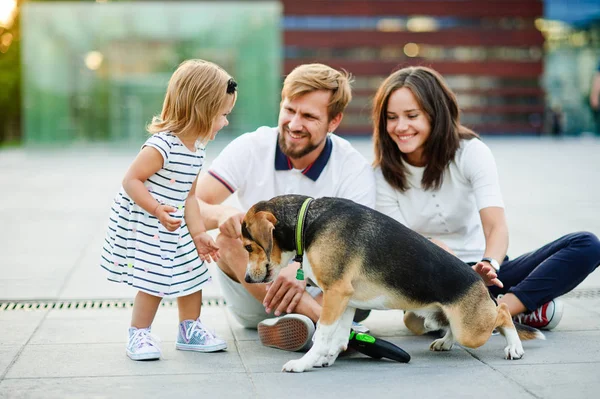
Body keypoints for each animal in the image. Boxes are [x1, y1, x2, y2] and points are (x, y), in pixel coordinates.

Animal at [240, 195, 544, 374]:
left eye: (248, 246)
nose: (246, 279)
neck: (308, 220)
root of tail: (480, 282)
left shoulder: (335, 293)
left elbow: (324, 335)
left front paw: (304, 363)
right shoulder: (345, 300)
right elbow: (339, 337)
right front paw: (324, 359)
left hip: (473, 329)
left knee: (503, 311)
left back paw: (514, 347)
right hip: (438, 320)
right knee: (457, 327)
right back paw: (446, 342)